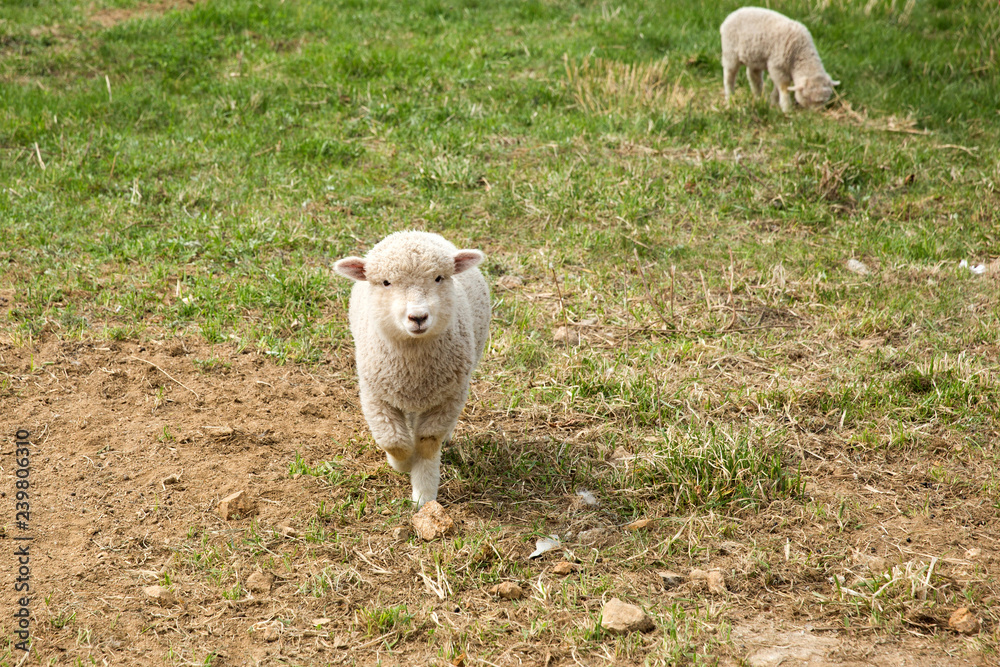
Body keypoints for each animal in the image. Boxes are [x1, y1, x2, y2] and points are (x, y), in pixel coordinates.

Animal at [334, 231, 490, 507]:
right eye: (386, 282)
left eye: (439, 278)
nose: (418, 317)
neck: (413, 372)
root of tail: (416, 231)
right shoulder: (376, 396)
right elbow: (394, 441)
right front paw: (402, 464)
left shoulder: (447, 397)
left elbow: (427, 442)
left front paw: (423, 497)